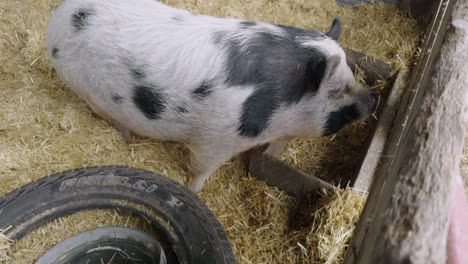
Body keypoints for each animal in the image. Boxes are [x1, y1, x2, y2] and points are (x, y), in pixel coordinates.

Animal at [44, 0, 380, 194]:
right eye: (335, 90)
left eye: (352, 74)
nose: (374, 99)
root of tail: (57, 18)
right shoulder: (214, 141)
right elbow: (200, 170)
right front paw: (195, 193)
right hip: (82, 85)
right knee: (102, 111)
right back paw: (126, 136)